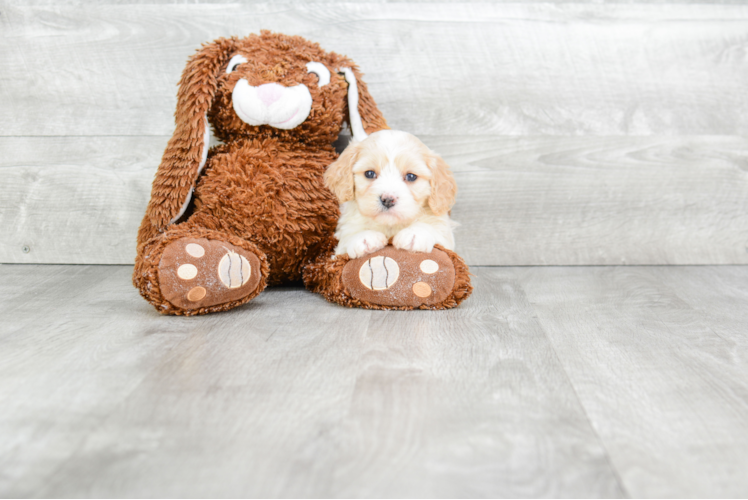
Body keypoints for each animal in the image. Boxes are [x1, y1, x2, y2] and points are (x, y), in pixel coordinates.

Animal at [326, 129, 458, 258]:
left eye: (411, 176)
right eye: (369, 173)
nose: (388, 200)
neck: (390, 226)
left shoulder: (445, 236)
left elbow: (433, 229)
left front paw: (414, 234)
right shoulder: (340, 245)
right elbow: (348, 236)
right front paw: (364, 237)